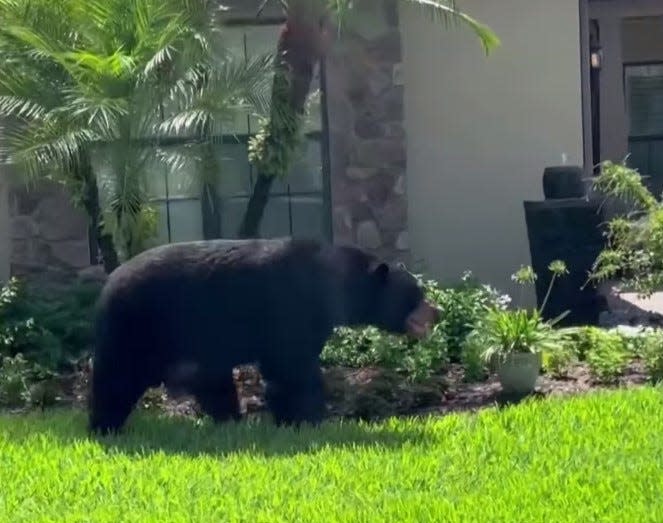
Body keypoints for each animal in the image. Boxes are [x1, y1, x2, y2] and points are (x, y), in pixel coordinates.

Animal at [88, 237, 440, 434]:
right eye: (416, 293)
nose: (437, 311)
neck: (333, 284)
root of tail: (107, 284)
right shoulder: (291, 304)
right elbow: (292, 367)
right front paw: (309, 419)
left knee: (211, 382)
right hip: (139, 326)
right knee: (117, 378)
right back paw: (104, 426)